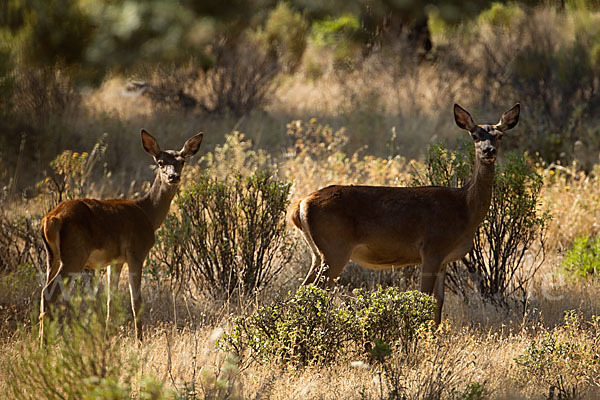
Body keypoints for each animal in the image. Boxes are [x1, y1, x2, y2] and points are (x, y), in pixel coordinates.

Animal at [40, 130, 204, 340]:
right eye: (160, 162)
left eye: (182, 161)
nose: (173, 176)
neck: (148, 214)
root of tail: (51, 219)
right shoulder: (136, 253)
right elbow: (136, 302)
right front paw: (140, 341)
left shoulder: (115, 261)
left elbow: (111, 300)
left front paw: (108, 337)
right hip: (74, 255)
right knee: (50, 293)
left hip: (52, 256)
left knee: (45, 292)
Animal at [290, 104, 520, 324]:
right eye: (474, 135)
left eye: (500, 135)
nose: (489, 150)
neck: (464, 208)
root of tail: (300, 205)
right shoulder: (432, 249)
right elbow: (424, 297)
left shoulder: (444, 259)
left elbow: (439, 302)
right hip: (335, 249)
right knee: (315, 292)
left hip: (318, 253)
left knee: (301, 291)